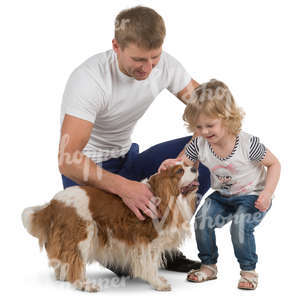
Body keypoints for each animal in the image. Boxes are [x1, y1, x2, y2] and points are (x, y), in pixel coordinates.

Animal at [21, 163, 199, 292]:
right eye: (180, 171)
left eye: (187, 165)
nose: (195, 167)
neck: (163, 196)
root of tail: (53, 203)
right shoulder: (147, 242)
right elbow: (150, 265)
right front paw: (157, 283)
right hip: (82, 235)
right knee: (74, 263)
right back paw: (84, 285)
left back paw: (63, 276)